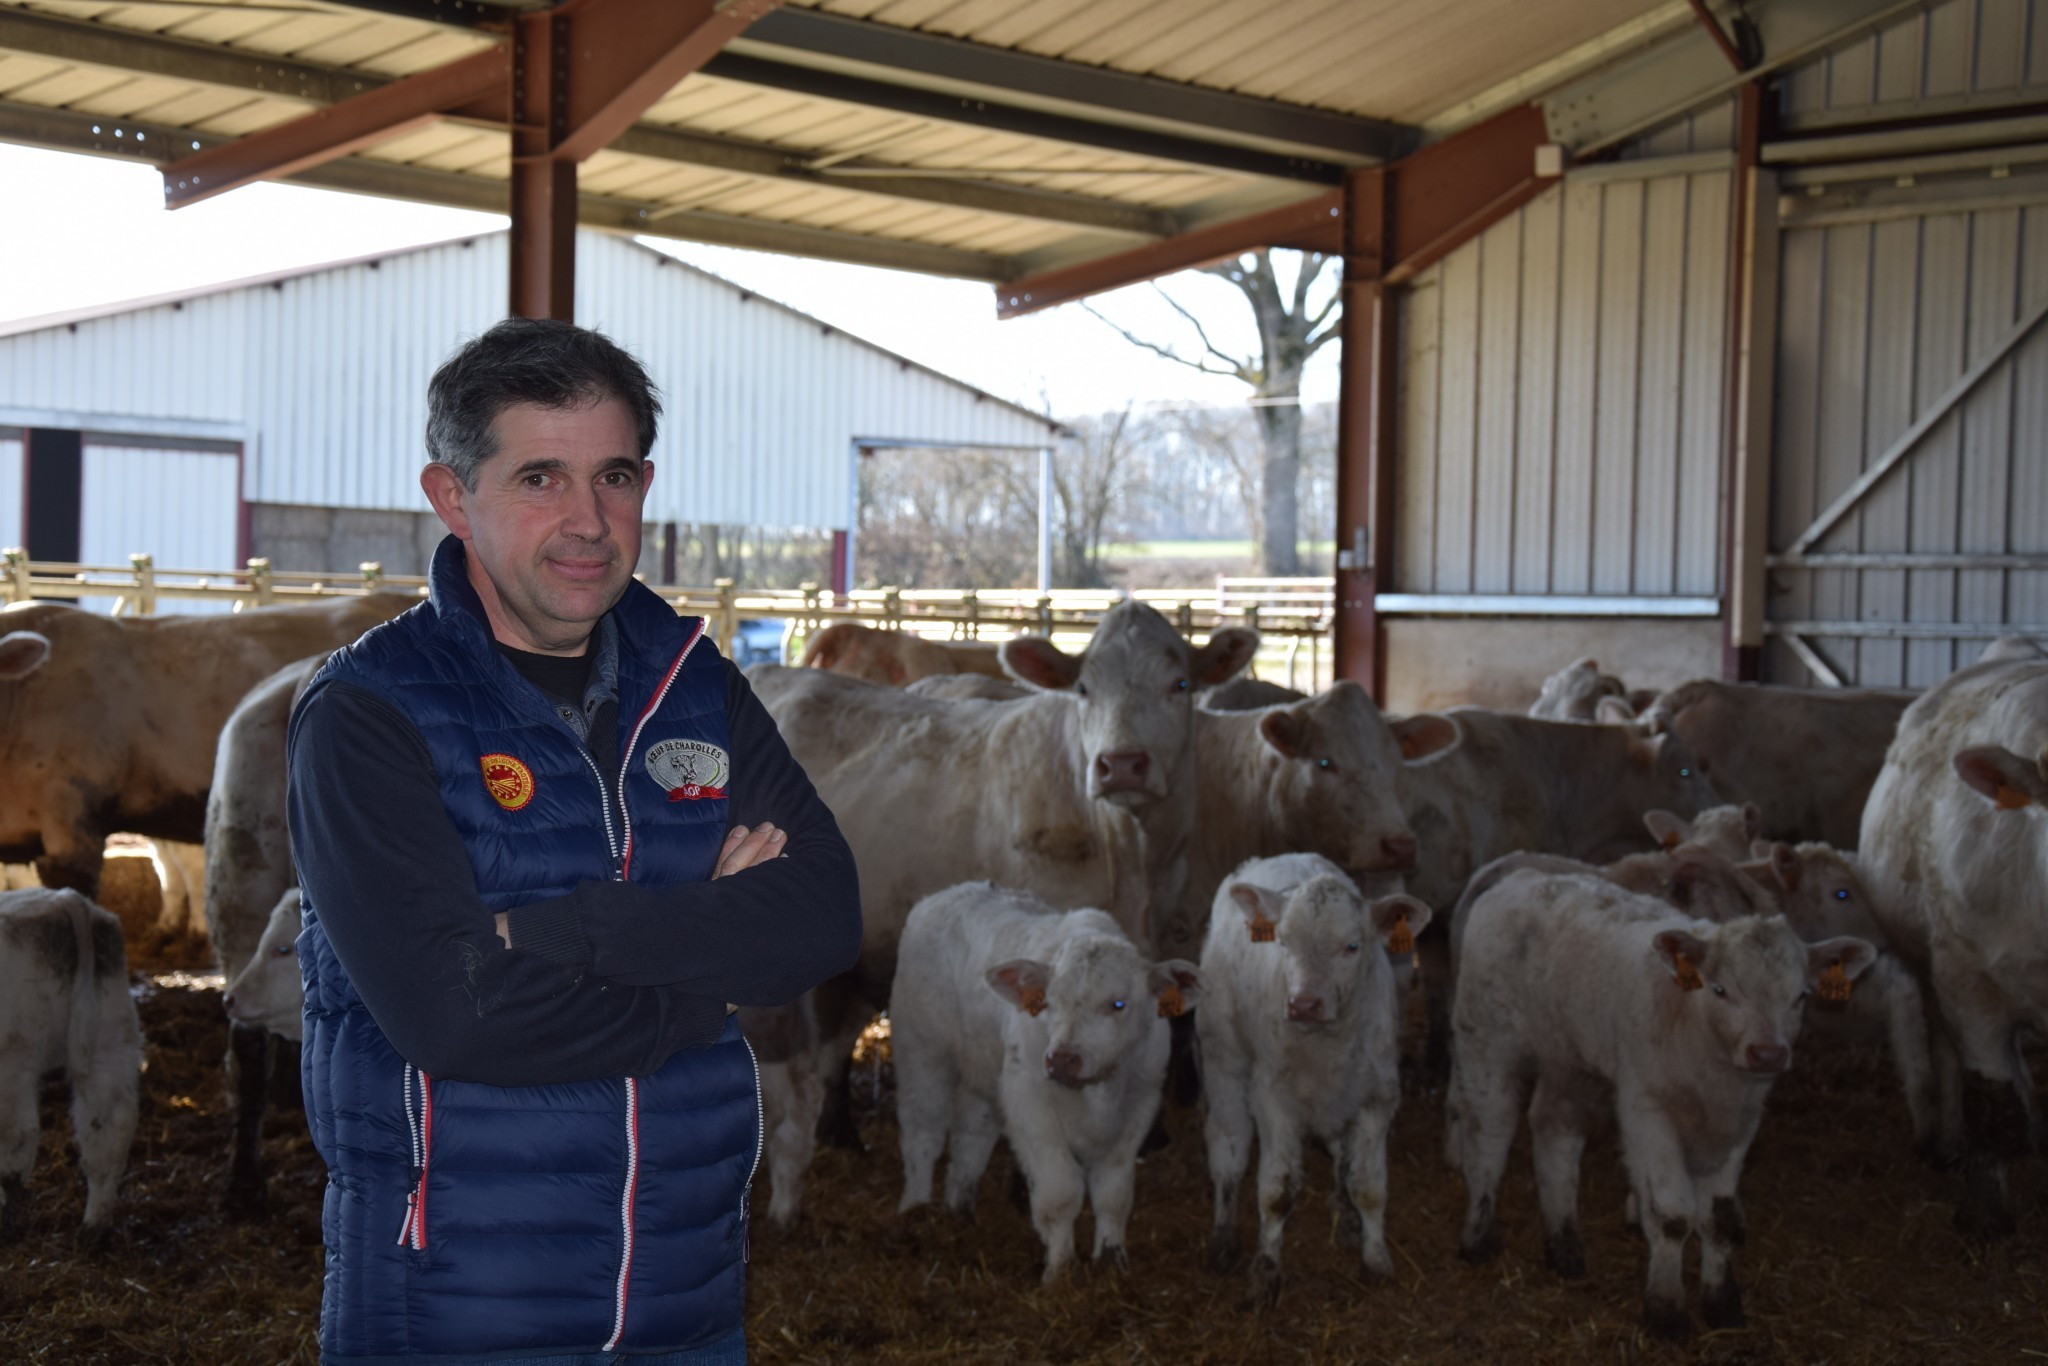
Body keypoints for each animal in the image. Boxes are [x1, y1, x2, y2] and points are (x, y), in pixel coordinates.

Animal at [892, 880, 1196, 1286]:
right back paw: (916, 1209)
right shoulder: (1030, 1103)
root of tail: (948, 893)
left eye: (1118, 1004)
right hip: (921, 1051)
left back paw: (960, 1210)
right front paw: (1060, 1270)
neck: (1097, 1092)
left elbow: (1113, 1193)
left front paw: (1112, 1260)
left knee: (971, 1135)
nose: (1062, 1059)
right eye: (1050, 1001)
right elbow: (1060, 1191)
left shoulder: (1141, 1103)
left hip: (983, 1072)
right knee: (922, 1133)